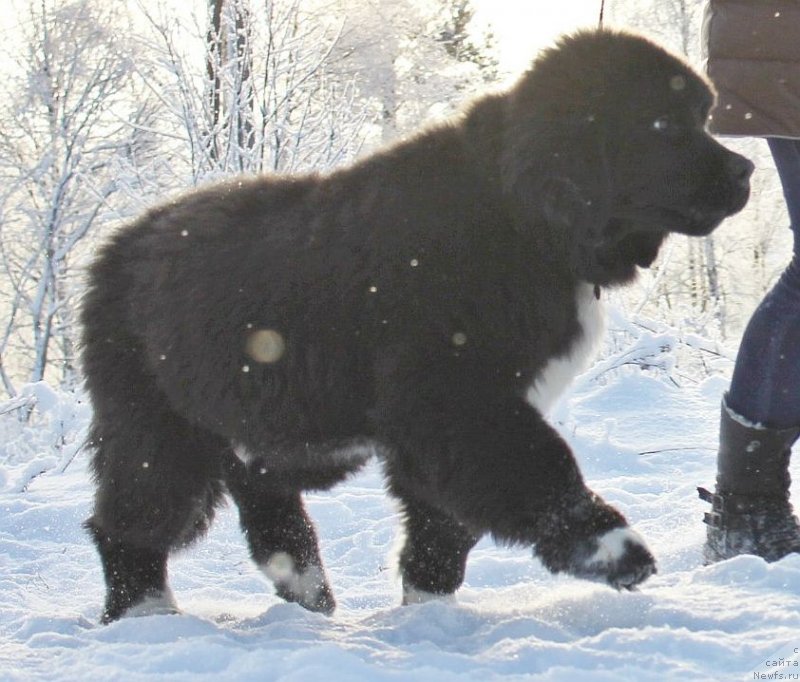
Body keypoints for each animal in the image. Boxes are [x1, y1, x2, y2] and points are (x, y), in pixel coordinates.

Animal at [84, 29, 752, 620]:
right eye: (664, 125)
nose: (746, 169)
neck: (524, 217)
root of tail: (116, 244)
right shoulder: (456, 398)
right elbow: (538, 466)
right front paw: (611, 550)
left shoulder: (446, 418)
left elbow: (443, 524)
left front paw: (428, 609)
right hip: (157, 420)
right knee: (135, 515)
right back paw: (147, 610)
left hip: (257, 419)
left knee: (260, 497)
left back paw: (305, 585)